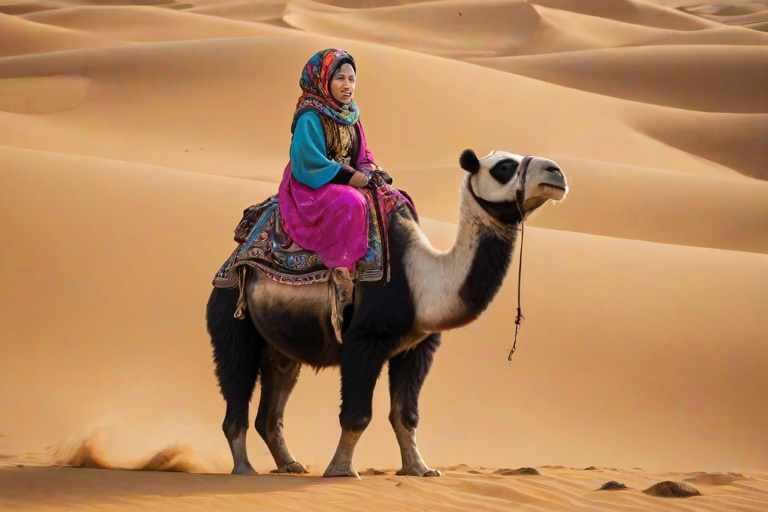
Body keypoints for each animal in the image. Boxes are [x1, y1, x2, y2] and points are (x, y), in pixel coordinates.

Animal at [205, 148, 568, 479]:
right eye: (504, 167)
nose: (556, 173)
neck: (422, 280)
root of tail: (233, 258)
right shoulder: (365, 339)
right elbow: (358, 415)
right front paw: (340, 470)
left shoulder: (419, 346)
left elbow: (406, 415)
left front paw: (420, 469)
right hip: (230, 313)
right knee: (236, 384)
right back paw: (244, 468)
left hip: (279, 346)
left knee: (272, 406)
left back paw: (290, 465)